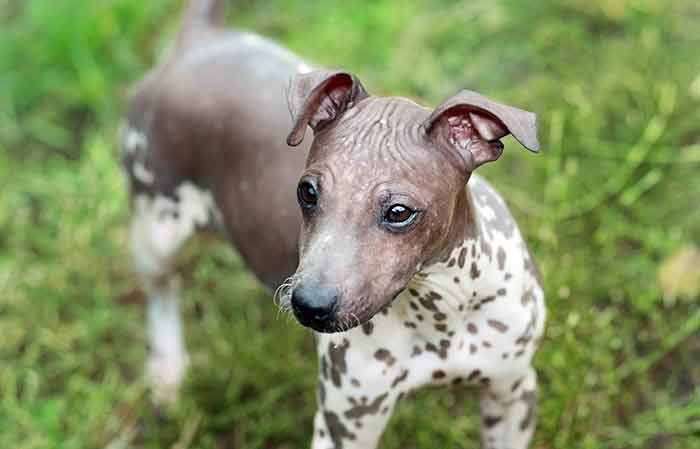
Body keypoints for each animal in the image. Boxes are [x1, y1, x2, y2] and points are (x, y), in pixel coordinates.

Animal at [120, 1, 548, 446]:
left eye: (399, 212)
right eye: (307, 193)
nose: (309, 305)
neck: (439, 310)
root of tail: (200, 39)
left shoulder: (513, 393)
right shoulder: (346, 422)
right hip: (156, 227)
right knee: (162, 293)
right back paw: (167, 372)